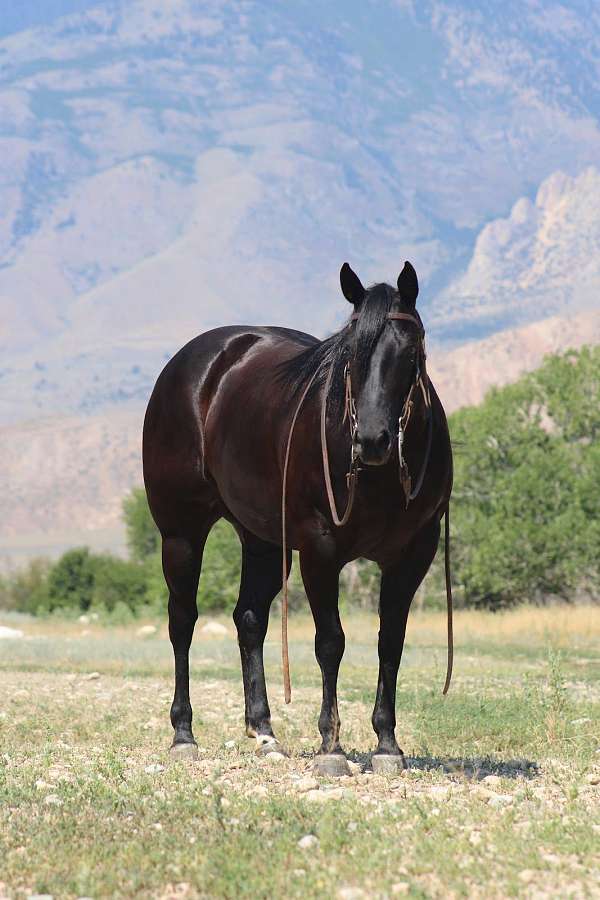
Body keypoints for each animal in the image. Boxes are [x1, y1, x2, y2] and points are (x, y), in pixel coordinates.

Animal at [142, 260, 453, 775]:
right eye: (349, 353)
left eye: (410, 350)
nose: (372, 441)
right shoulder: (320, 549)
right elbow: (331, 641)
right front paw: (331, 746)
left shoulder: (413, 555)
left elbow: (391, 641)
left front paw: (387, 744)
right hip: (181, 533)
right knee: (182, 620)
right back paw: (183, 734)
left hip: (263, 540)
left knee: (249, 619)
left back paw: (264, 732)